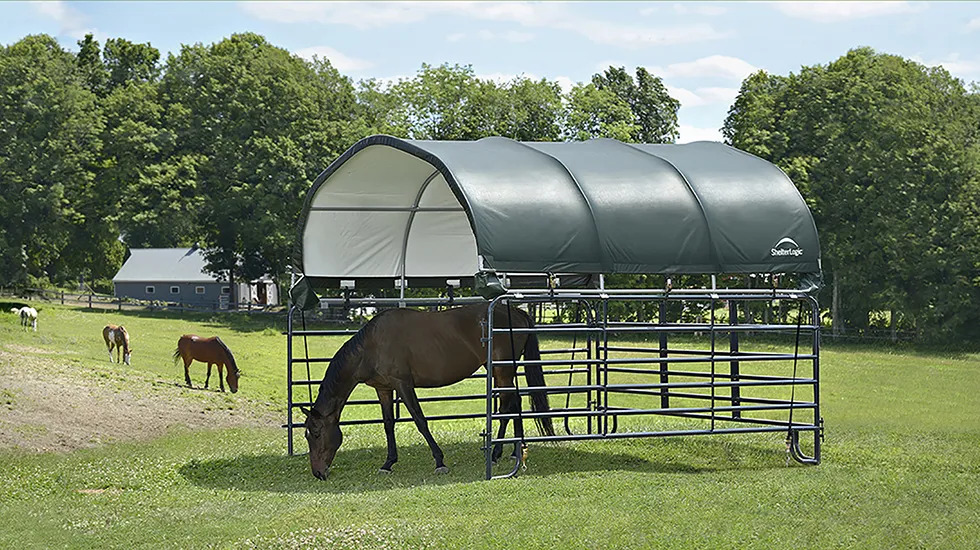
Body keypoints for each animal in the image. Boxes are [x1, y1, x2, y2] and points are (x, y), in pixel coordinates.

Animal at [302, 304, 556, 480]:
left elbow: (420, 420)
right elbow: (388, 424)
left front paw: (440, 461)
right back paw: (515, 450)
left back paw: (496, 453)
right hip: (499, 371)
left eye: (316, 433)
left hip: (502, 371)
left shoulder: (403, 385)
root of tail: (518, 312)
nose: (318, 473)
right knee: (515, 402)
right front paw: (388, 463)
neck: (371, 346)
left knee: (506, 406)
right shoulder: (384, 389)